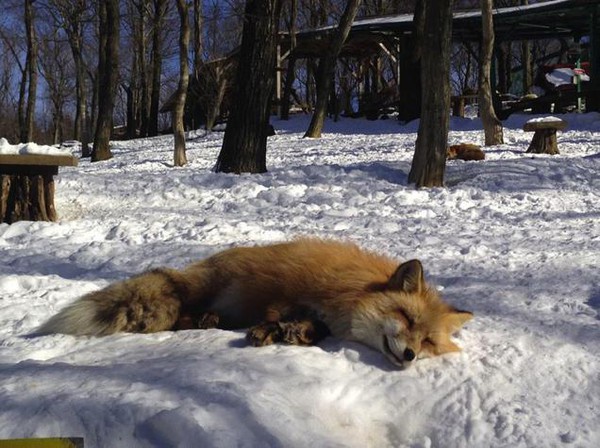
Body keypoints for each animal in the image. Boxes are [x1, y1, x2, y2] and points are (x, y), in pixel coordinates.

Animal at [36, 238, 474, 368]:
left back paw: (207, 320)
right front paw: (269, 330)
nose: (410, 355)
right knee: (177, 312)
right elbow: (275, 312)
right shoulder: (288, 288)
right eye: (405, 318)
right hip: (201, 288)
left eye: (428, 342)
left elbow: (312, 329)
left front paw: (296, 333)